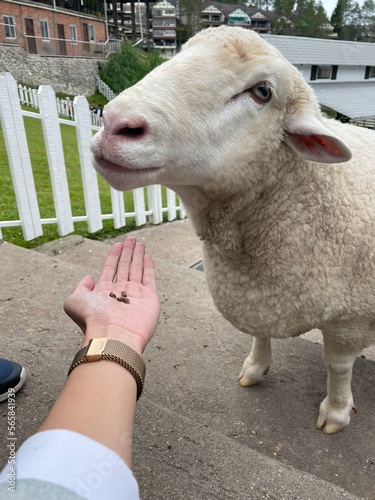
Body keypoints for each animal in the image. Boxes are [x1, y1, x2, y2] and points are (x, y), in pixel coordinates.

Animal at [91, 25, 375, 434]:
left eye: (263, 91)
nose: (115, 124)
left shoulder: (350, 320)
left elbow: (337, 368)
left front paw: (336, 412)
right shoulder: (260, 296)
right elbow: (259, 332)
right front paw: (254, 369)